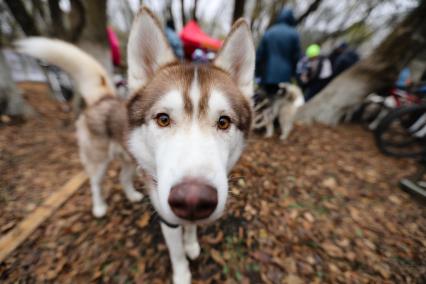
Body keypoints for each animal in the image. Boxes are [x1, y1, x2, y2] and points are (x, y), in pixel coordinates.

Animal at [15, 7, 256, 284]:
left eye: (224, 122)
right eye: (163, 119)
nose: (193, 201)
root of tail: (104, 97)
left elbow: (191, 229)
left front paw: (192, 244)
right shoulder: (167, 218)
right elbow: (177, 254)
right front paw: (182, 273)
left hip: (131, 160)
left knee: (123, 176)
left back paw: (131, 195)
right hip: (98, 162)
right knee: (95, 183)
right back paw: (99, 207)